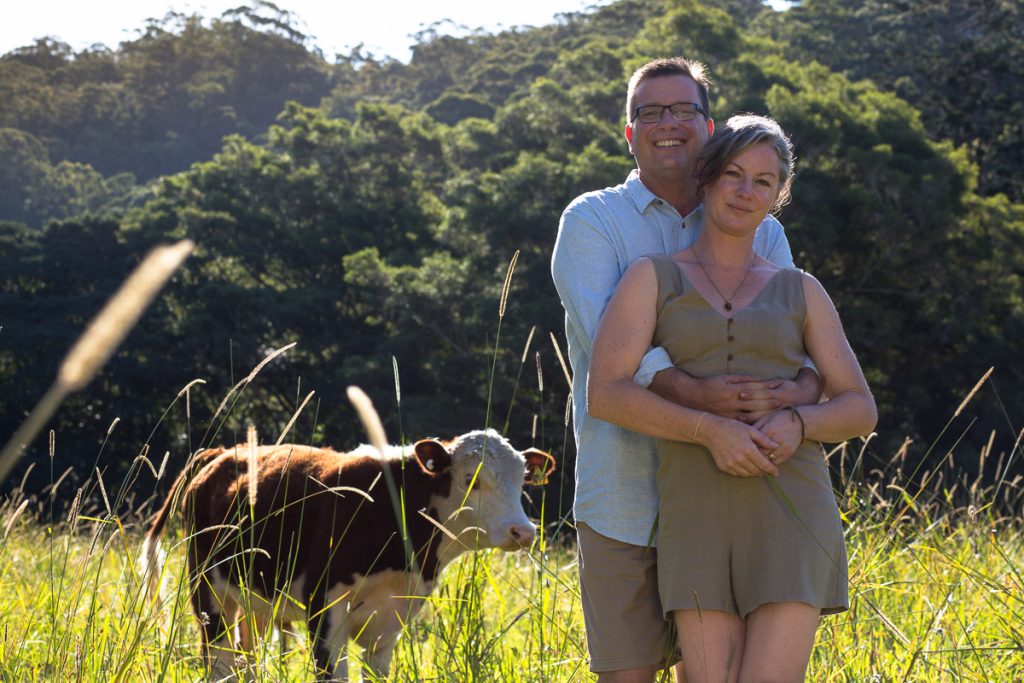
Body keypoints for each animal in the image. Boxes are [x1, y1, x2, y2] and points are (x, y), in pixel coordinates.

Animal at [140, 429, 555, 681]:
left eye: (522, 480)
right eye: (472, 480)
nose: (523, 532)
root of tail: (222, 453)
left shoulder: (391, 621)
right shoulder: (323, 609)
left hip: (255, 600)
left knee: (248, 656)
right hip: (208, 593)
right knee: (220, 659)